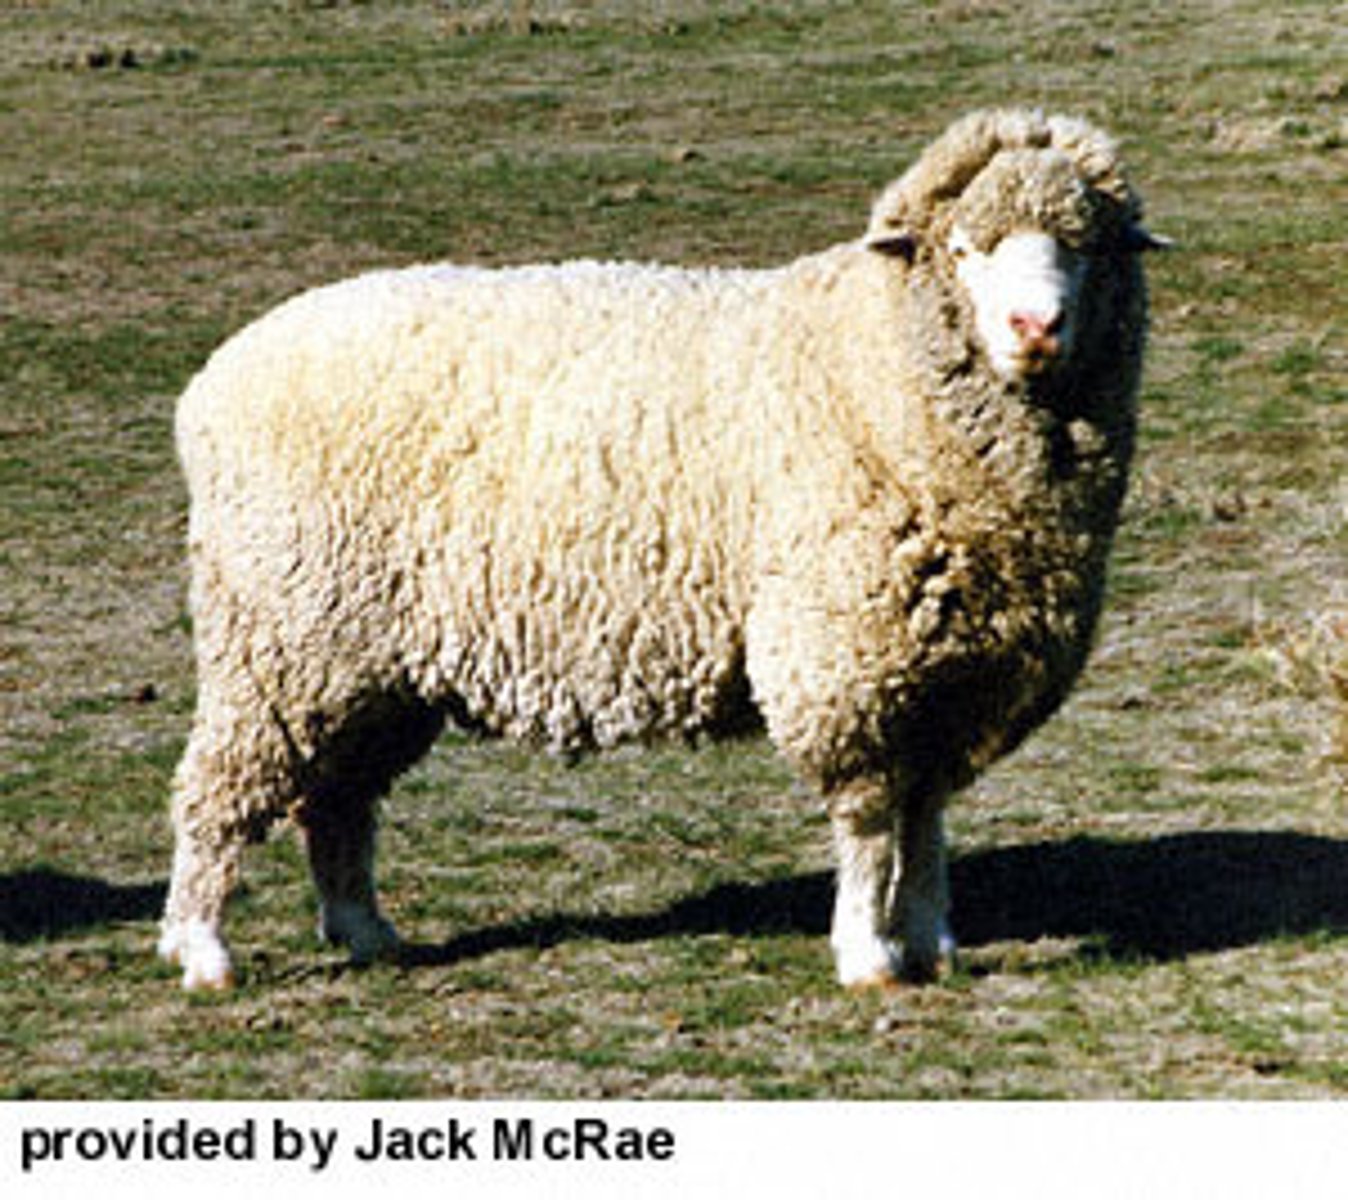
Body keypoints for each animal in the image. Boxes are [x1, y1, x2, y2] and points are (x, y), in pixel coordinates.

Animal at [158, 108, 1164, 992]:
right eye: (964, 249)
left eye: (1083, 245)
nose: (1036, 327)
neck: (871, 366)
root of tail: (213, 382)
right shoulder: (848, 660)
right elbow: (872, 823)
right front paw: (869, 956)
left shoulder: (952, 675)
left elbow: (925, 822)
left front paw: (931, 941)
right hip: (279, 642)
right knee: (218, 790)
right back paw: (202, 950)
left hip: (368, 665)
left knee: (338, 799)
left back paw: (366, 933)